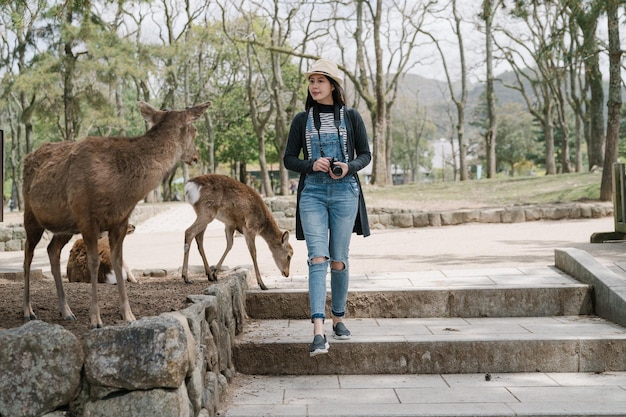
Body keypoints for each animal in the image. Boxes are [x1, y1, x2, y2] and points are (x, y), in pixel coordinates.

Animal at [22, 101, 212, 328]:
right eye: (195, 129)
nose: (196, 156)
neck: (122, 189)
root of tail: (26, 158)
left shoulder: (120, 221)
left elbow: (119, 262)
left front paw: (128, 315)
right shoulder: (87, 217)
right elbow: (94, 262)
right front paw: (95, 319)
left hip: (65, 226)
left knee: (52, 250)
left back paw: (66, 311)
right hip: (31, 214)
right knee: (28, 254)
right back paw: (28, 310)